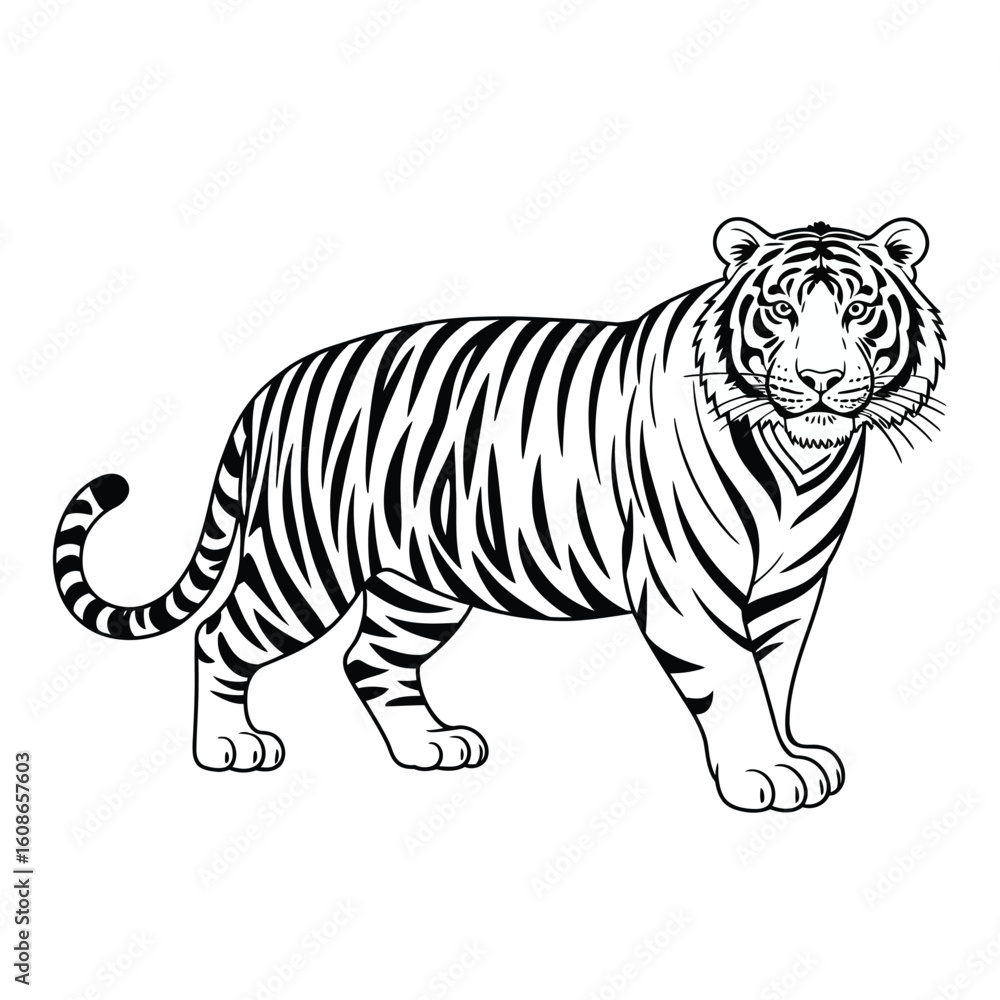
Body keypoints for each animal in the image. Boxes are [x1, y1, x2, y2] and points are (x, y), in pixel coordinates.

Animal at [53, 216, 945, 811]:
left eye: (860, 310)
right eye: (781, 312)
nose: (824, 380)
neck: (801, 460)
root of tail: (273, 387)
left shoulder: (790, 590)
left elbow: (777, 676)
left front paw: (794, 753)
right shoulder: (688, 588)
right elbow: (732, 678)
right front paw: (764, 772)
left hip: (419, 584)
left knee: (370, 661)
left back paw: (429, 747)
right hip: (303, 566)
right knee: (221, 636)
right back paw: (229, 747)